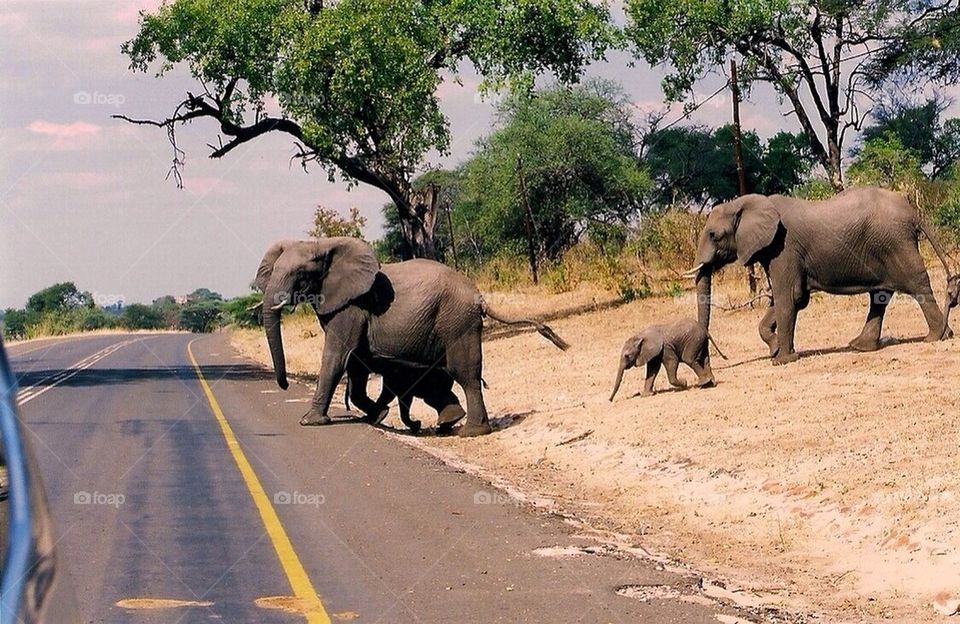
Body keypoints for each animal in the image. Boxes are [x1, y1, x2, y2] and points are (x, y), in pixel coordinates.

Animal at [255, 238, 569, 437]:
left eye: (301, 274)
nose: (284, 385)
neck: (323, 244)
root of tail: (480, 297)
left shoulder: (352, 305)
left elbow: (337, 357)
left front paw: (309, 422)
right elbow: (355, 362)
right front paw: (378, 416)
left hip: (457, 321)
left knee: (466, 373)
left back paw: (471, 431)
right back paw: (449, 422)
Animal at [685, 187, 952, 365]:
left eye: (713, 235)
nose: (722, 358)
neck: (746, 203)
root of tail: (913, 213)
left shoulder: (784, 248)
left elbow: (788, 297)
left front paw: (782, 360)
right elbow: (791, 300)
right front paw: (776, 350)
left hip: (896, 242)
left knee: (917, 283)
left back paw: (937, 336)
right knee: (880, 295)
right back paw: (860, 347)